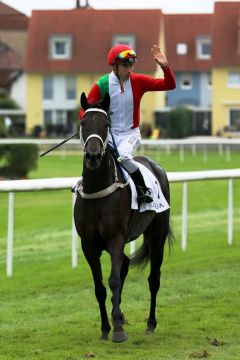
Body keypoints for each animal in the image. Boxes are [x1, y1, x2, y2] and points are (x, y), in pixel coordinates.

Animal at [73, 91, 172, 342]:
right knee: (126, 264)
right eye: (83, 123)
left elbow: (114, 280)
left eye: (106, 124)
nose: (93, 156)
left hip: (157, 234)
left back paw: (150, 323)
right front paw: (105, 327)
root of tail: (155, 166)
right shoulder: (89, 244)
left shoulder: (115, 238)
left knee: (154, 278)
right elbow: (99, 287)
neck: (98, 191)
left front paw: (118, 329)